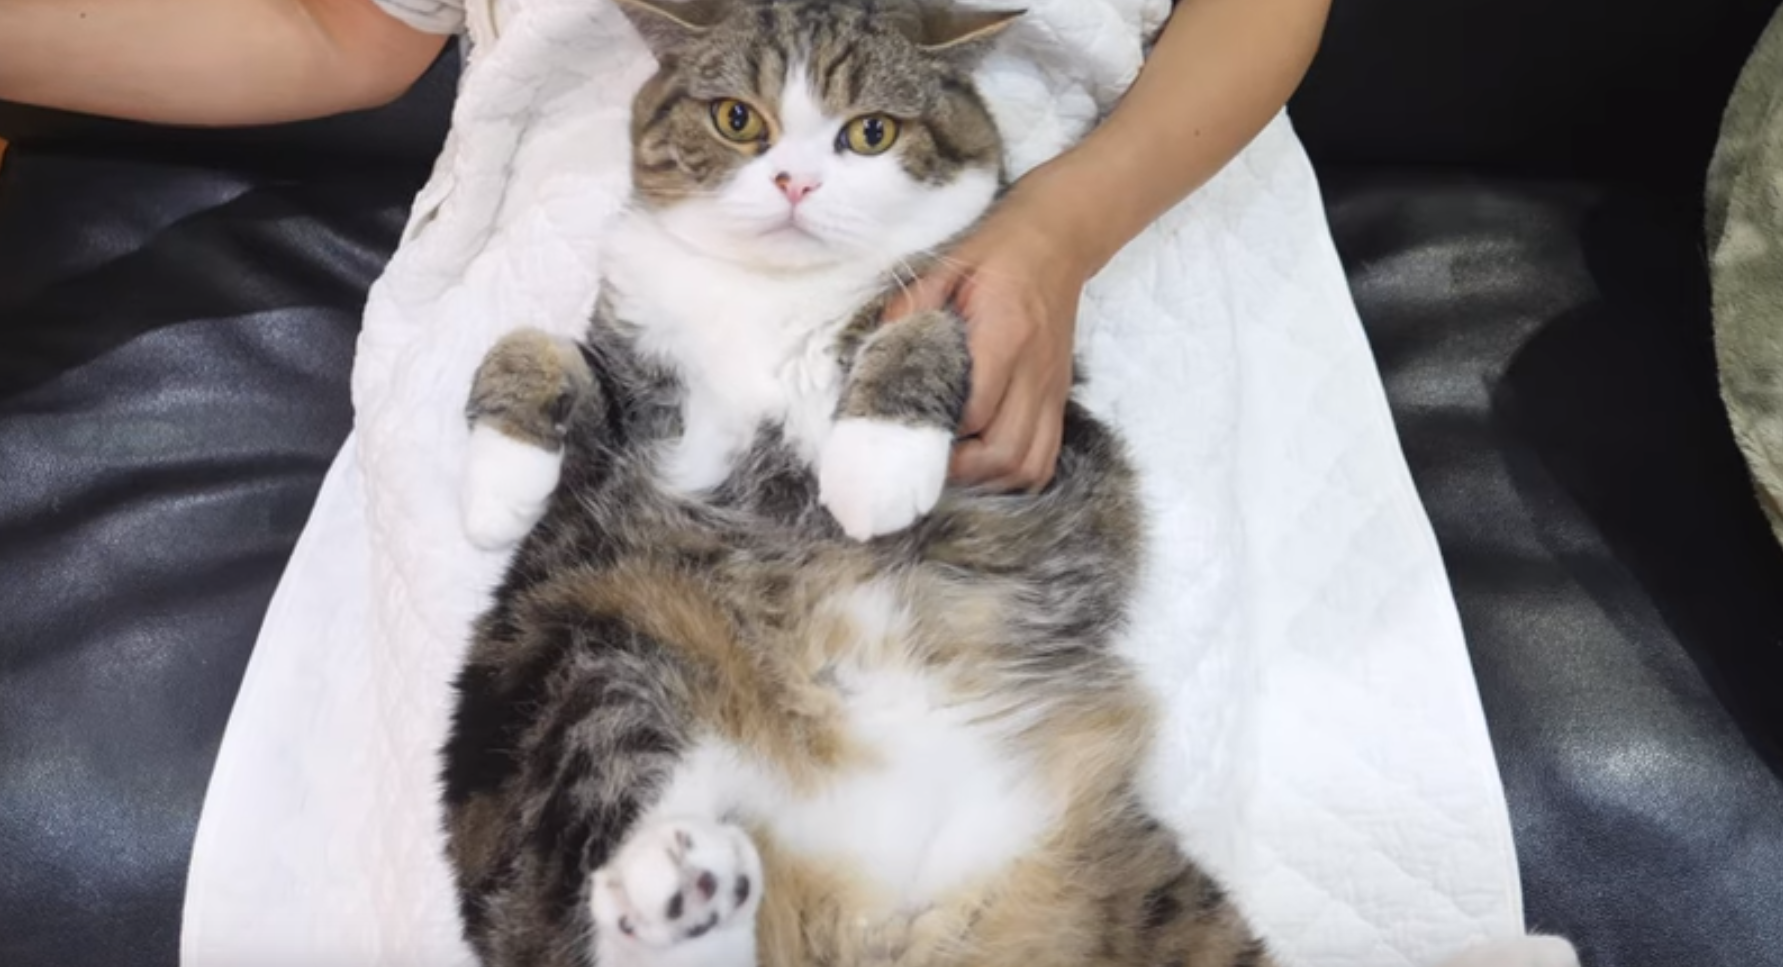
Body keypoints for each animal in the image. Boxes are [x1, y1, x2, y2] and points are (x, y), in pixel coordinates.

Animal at [445, 1, 1590, 967]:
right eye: (738, 119)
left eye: (869, 132)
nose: (795, 185)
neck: (772, 301)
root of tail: (885, 925)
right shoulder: (649, 417)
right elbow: (534, 343)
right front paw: (498, 482)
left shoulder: (1026, 384)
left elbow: (925, 328)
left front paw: (875, 464)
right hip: (591, 657)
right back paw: (677, 876)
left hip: (1139, 888)